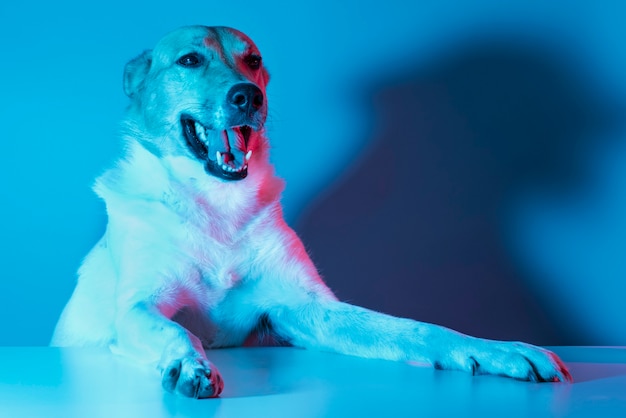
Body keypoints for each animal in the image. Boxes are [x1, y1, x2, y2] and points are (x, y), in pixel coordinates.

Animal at [51, 25, 572, 398]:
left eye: (253, 60)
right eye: (190, 60)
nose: (248, 95)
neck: (218, 206)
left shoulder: (304, 307)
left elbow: (416, 329)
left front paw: (494, 350)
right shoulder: (138, 306)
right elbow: (177, 331)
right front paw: (191, 362)